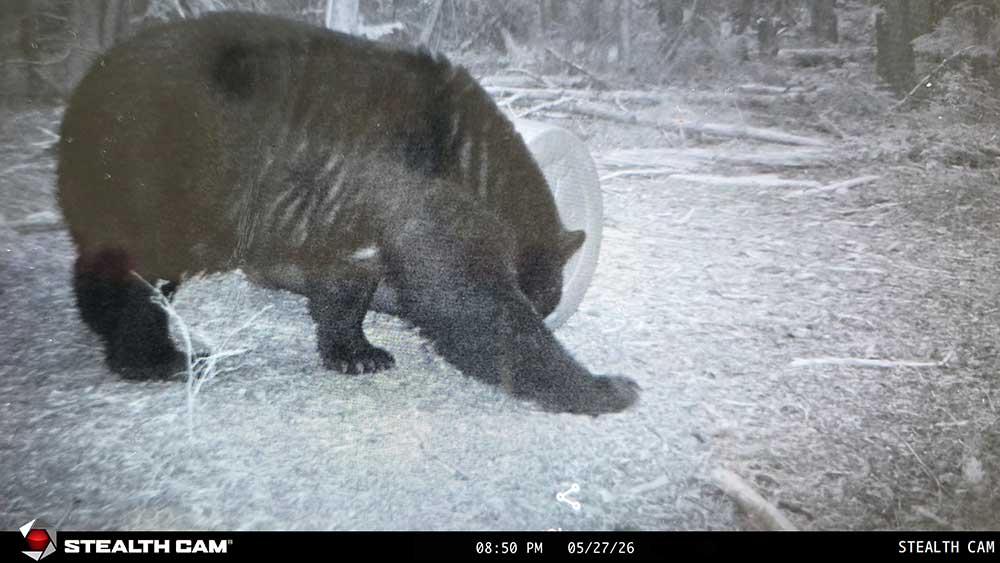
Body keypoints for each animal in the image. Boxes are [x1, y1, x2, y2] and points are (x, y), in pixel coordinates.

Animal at [56, 11, 638, 415]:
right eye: (540, 305)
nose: (544, 307)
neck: (478, 165)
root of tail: (84, 89)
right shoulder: (427, 196)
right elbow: (471, 304)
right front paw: (608, 387)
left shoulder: (350, 212)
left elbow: (343, 282)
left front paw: (357, 352)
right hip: (153, 170)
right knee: (136, 266)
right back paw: (161, 357)